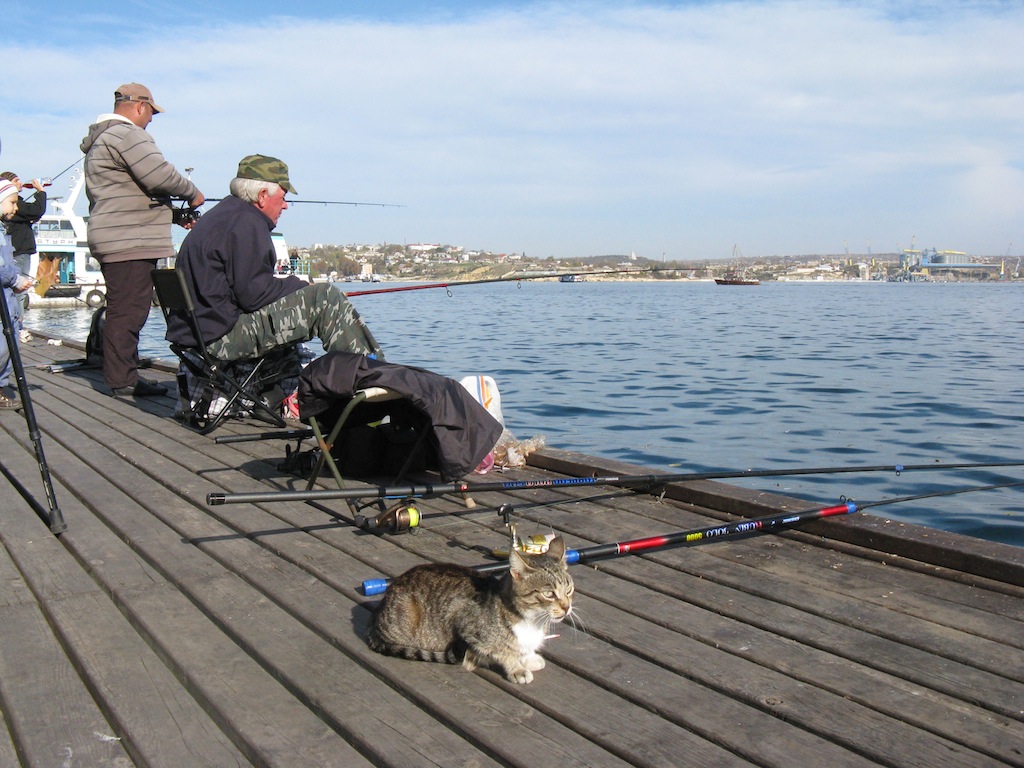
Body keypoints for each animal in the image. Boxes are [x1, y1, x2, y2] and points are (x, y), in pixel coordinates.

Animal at [366, 536, 577, 684]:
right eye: (549, 594)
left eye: (569, 589)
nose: (567, 607)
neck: (532, 621)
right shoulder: (463, 620)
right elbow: (501, 651)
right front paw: (516, 668)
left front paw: (528, 657)